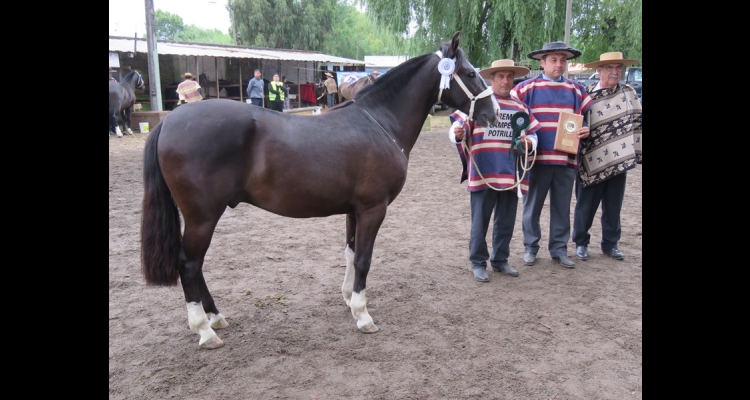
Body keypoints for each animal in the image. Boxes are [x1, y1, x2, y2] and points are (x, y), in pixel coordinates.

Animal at [141, 31, 500, 348]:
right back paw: (204, 330)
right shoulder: (373, 208)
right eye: (470, 73)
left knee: (195, 265)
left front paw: (349, 299)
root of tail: (169, 121)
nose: (493, 113)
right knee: (188, 265)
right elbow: (364, 259)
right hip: (202, 217)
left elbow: (351, 253)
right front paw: (363, 315)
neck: (379, 122)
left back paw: (215, 317)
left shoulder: (354, 210)